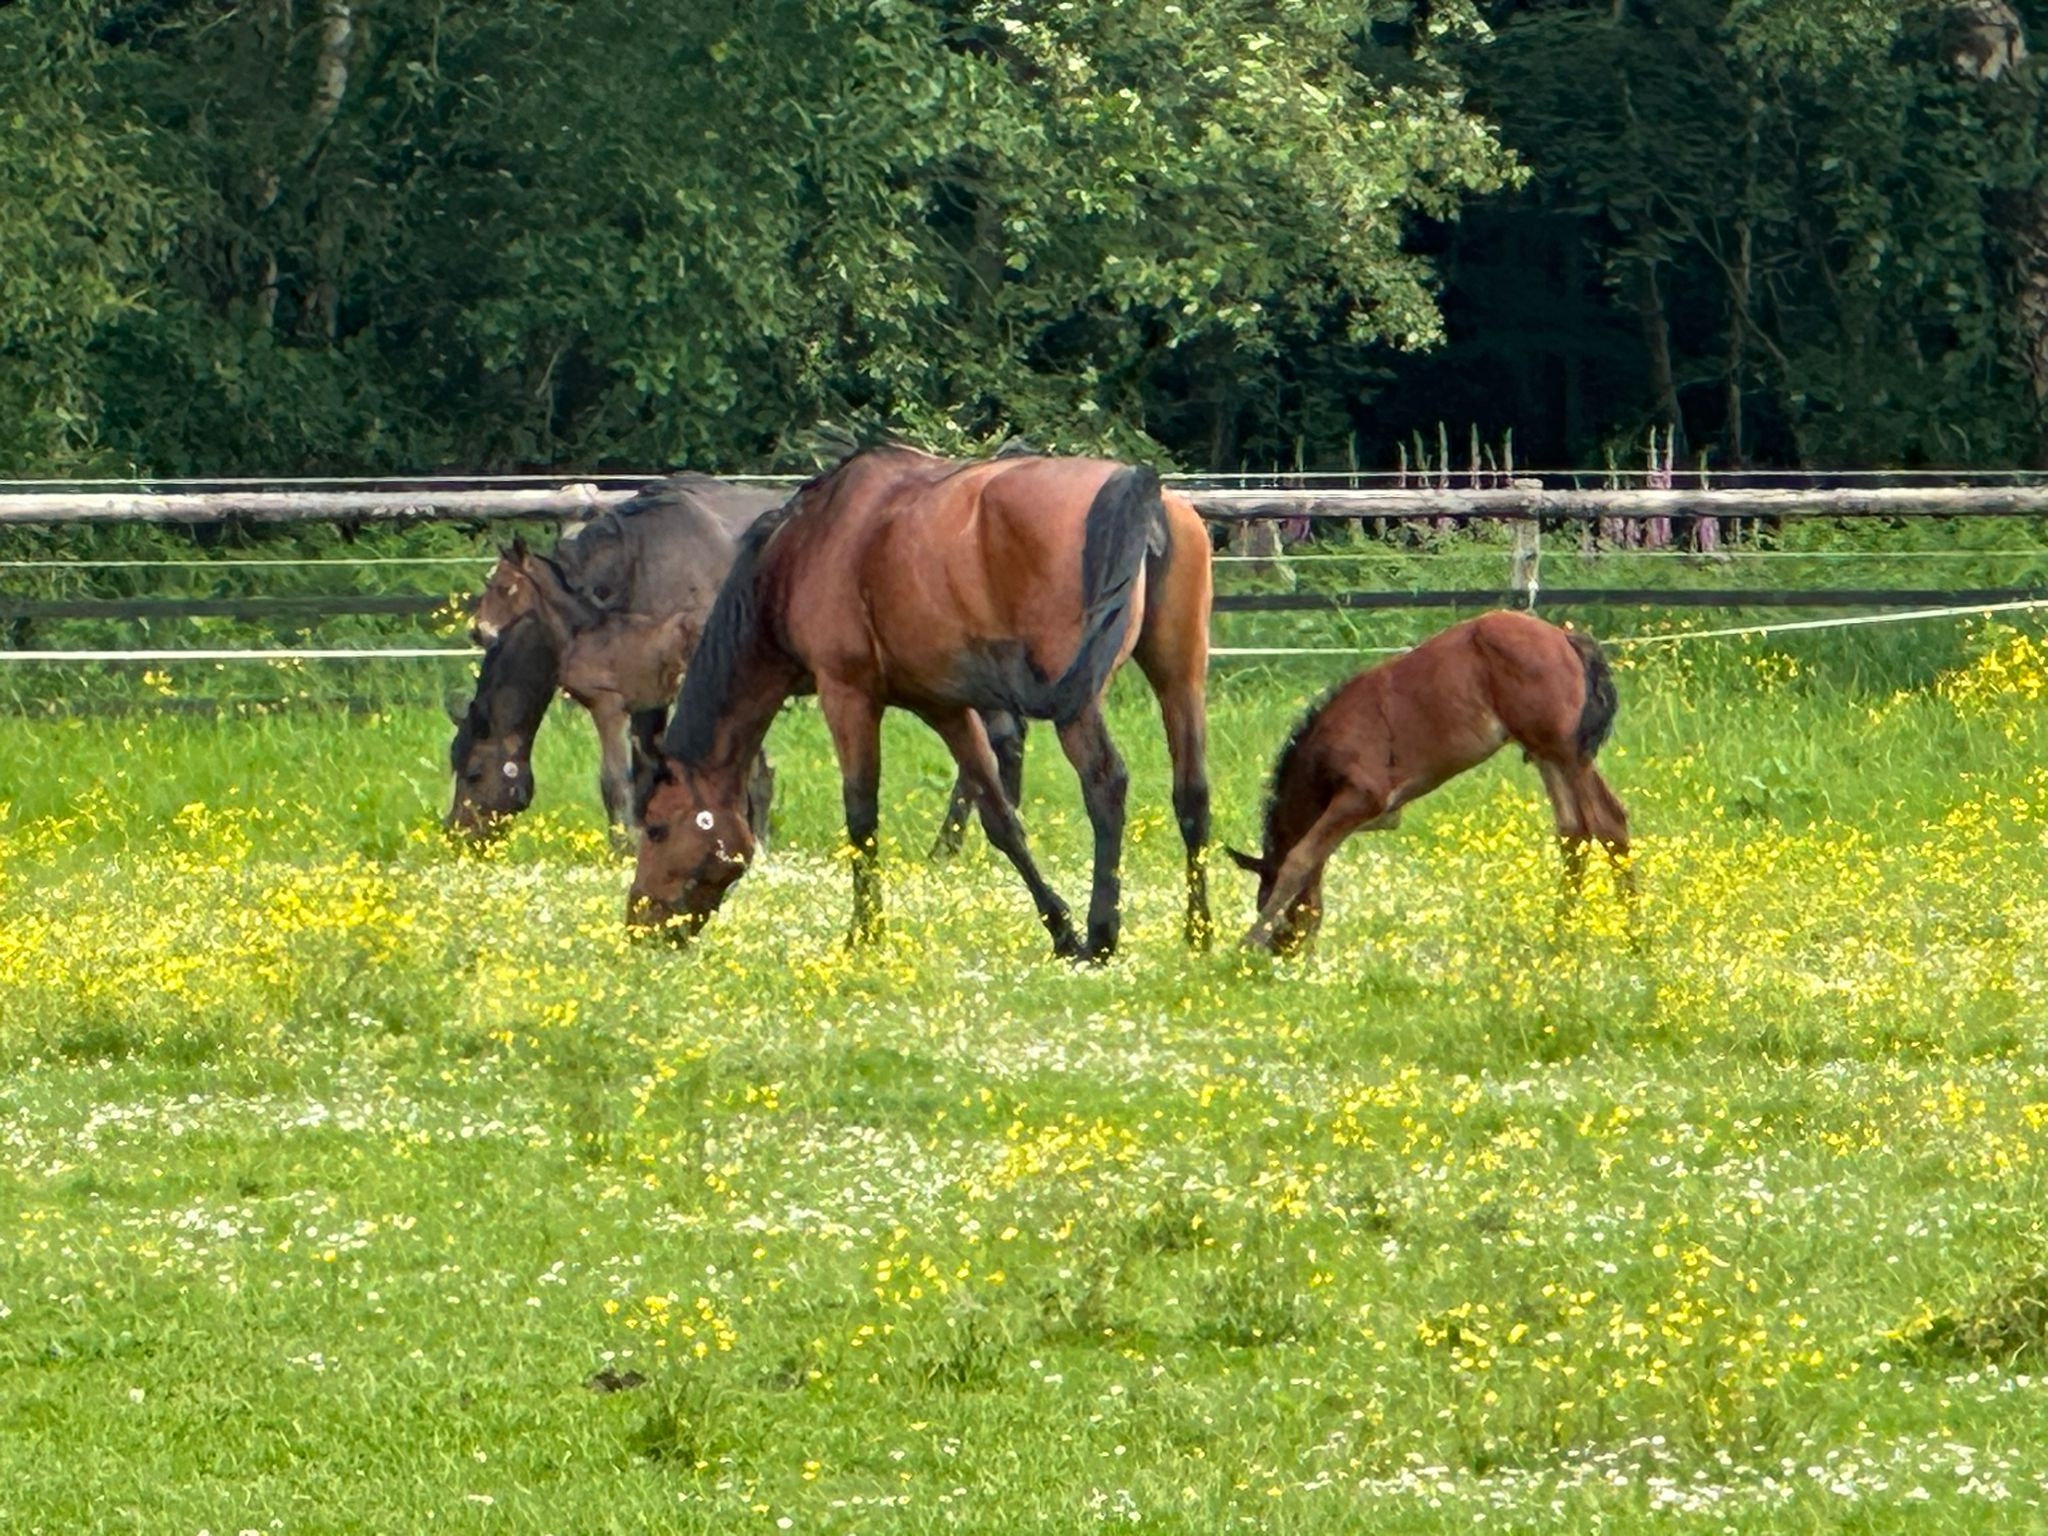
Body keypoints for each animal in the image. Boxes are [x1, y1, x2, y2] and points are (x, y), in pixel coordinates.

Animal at [628, 446, 1215, 959]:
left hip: (1079, 704)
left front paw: (864, 935)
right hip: (1180, 678)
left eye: (656, 828)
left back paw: (1104, 936)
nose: (637, 924)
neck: (801, 550)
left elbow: (862, 817)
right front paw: (1059, 931)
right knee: (1191, 793)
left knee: (1106, 785)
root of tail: (1139, 484)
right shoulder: (945, 708)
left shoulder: (847, 694)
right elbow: (999, 818)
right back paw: (1198, 934)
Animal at [1227, 611, 1634, 954]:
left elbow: (1300, 859)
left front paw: (1245, 946)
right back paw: (1560, 937)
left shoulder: (1363, 796)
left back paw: (1635, 939)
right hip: (1546, 753)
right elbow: (1316, 859)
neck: (1327, 748)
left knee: (1607, 821)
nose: (1284, 951)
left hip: (1566, 751)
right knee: (1573, 831)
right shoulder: (1372, 813)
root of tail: (1566, 637)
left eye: (1263, 899)